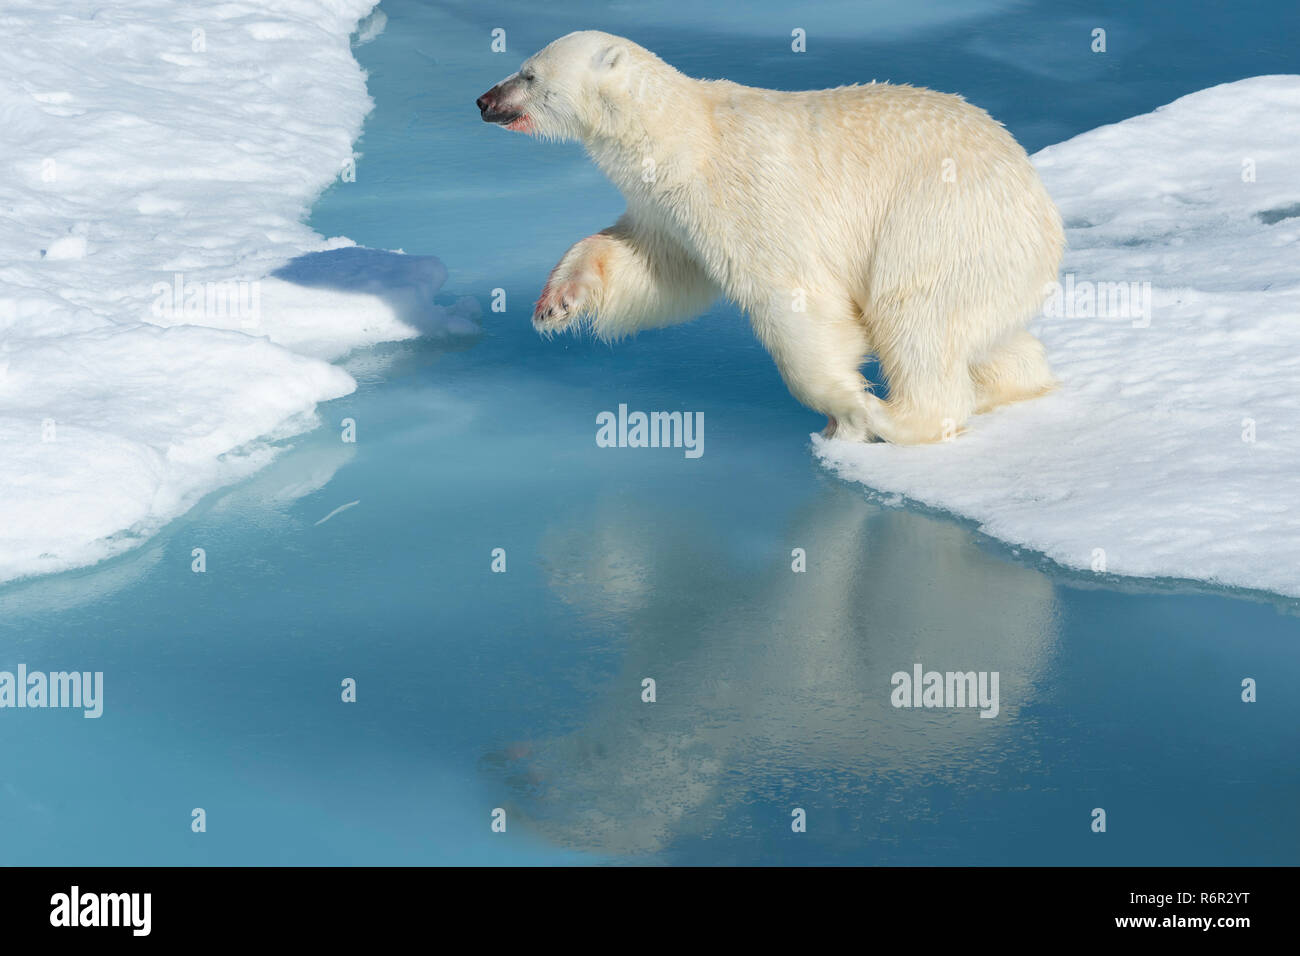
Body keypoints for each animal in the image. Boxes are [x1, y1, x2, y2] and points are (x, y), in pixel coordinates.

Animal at [478, 31, 1066, 442]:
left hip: (943, 217)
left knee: (916, 312)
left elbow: (794, 296)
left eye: (528, 74)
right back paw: (1007, 384)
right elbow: (653, 267)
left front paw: (846, 410)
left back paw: (898, 416)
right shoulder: (667, 210)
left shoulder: (744, 193)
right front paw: (557, 302)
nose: (484, 100)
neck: (682, 137)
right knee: (983, 331)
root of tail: (1041, 205)